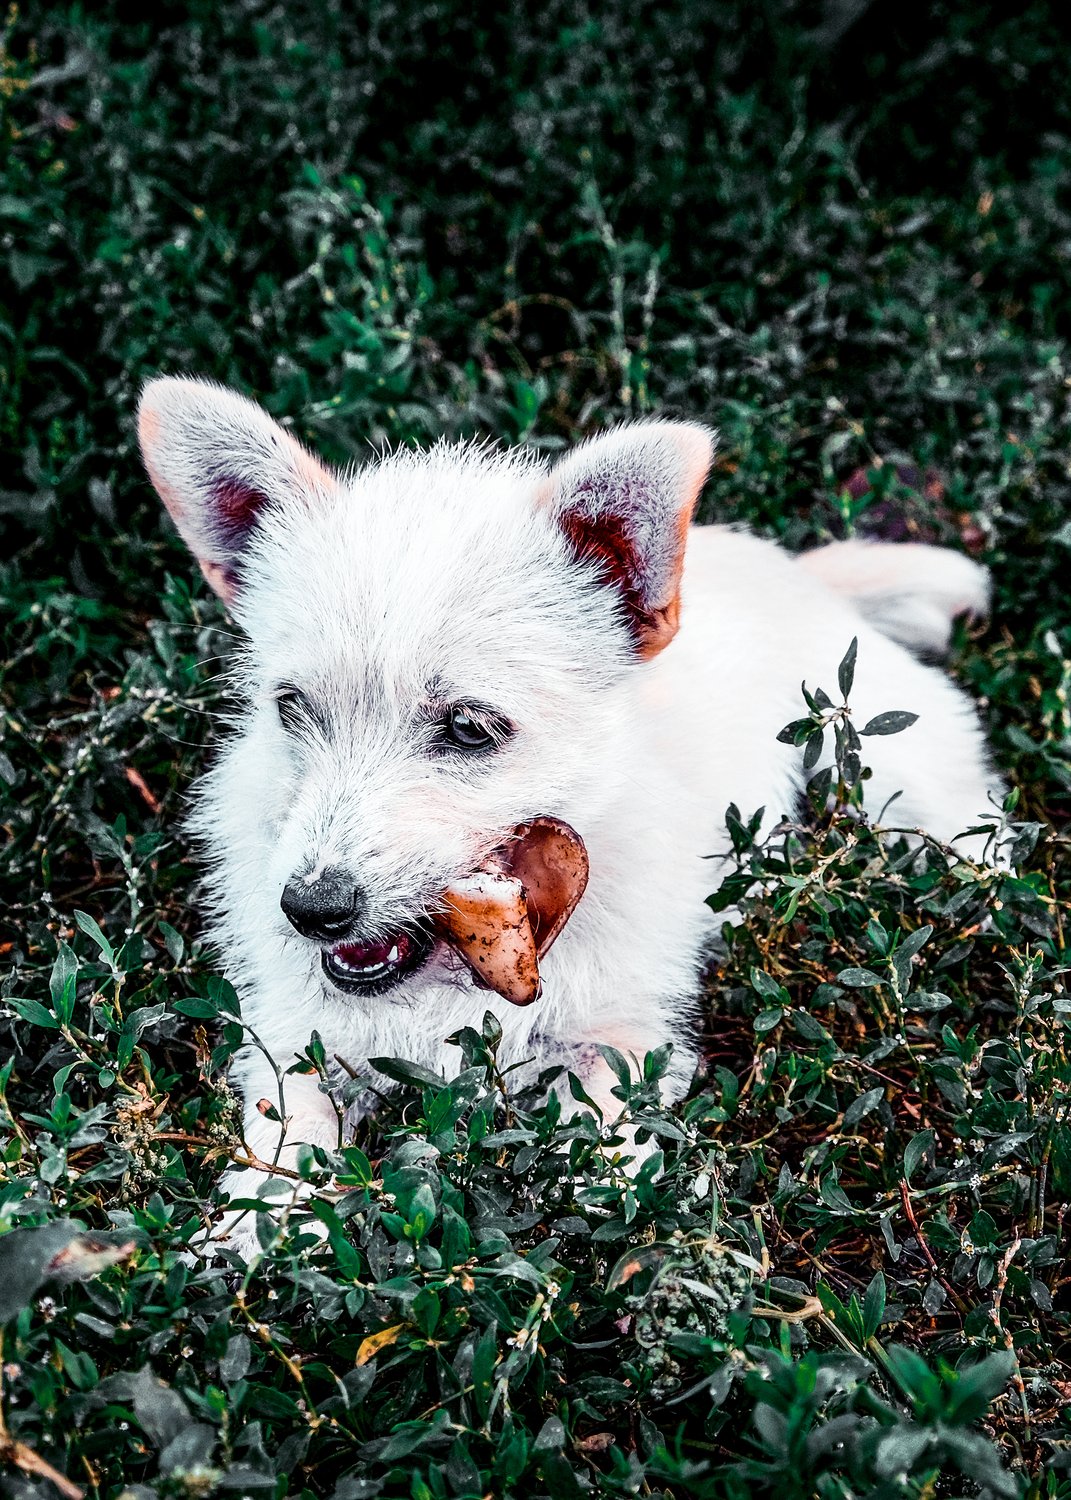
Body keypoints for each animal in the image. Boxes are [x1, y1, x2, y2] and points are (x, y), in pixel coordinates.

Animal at [135, 381, 1002, 1248]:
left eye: (469, 728)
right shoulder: (296, 1042)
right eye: (291, 708)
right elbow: (290, 1128)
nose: (311, 910)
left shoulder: (622, 1040)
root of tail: (785, 569)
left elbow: (595, 1143)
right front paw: (262, 1219)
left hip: (889, 758)